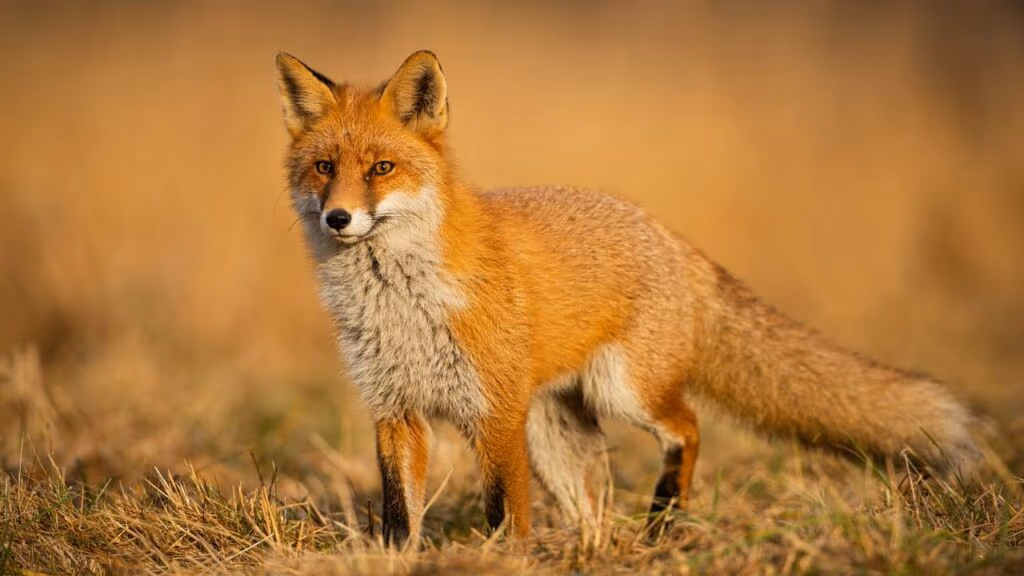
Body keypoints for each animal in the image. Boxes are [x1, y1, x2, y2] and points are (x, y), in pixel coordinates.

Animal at [274, 50, 980, 546]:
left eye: (382, 169)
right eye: (324, 168)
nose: (338, 218)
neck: (401, 306)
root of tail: (669, 236)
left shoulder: (495, 414)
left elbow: (506, 514)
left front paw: (504, 559)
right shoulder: (394, 409)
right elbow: (399, 517)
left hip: (624, 392)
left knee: (689, 428)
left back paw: (663, 523)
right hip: (557, 433)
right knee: (594, 505)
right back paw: (599, 550)